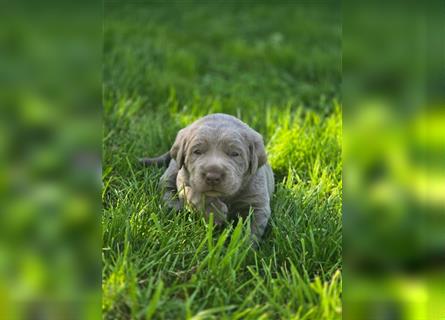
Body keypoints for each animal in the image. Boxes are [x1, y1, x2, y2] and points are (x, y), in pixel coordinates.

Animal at [140, 114, 274, 244]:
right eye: (197, 151)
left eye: (235, 154)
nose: (213, 176)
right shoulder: (183, 178)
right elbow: (192, 192)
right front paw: (215, 212)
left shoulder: (256, 202)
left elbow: (251, 228)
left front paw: (242, 247)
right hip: (173, 167)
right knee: (166, 185)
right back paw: (174, 205)